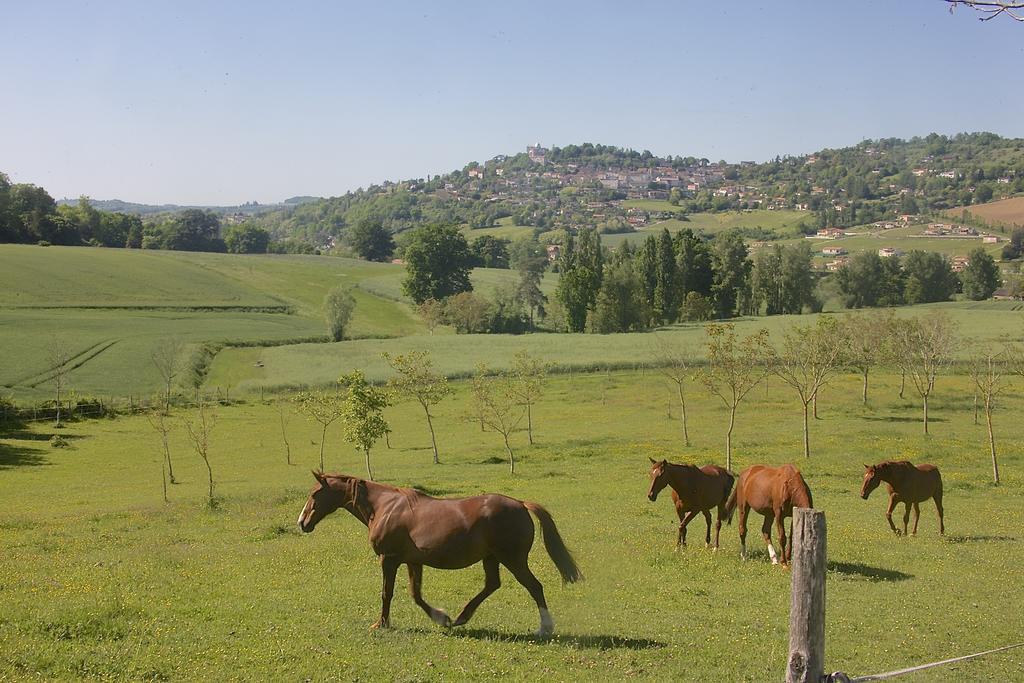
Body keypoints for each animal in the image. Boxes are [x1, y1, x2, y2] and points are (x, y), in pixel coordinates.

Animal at [299, 471, 581, 634]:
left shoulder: (389, 559)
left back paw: (544, 628)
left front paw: (382, 624)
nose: (302, 522)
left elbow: (387, 593)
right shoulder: (412, 562)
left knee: (534, 586)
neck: (383, 508)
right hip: (491, 558)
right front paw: (441, 618)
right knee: (492, 585)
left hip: (512, 559)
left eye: (315, 493)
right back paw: (461, 618)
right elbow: (416, 594)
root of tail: (521, 504)